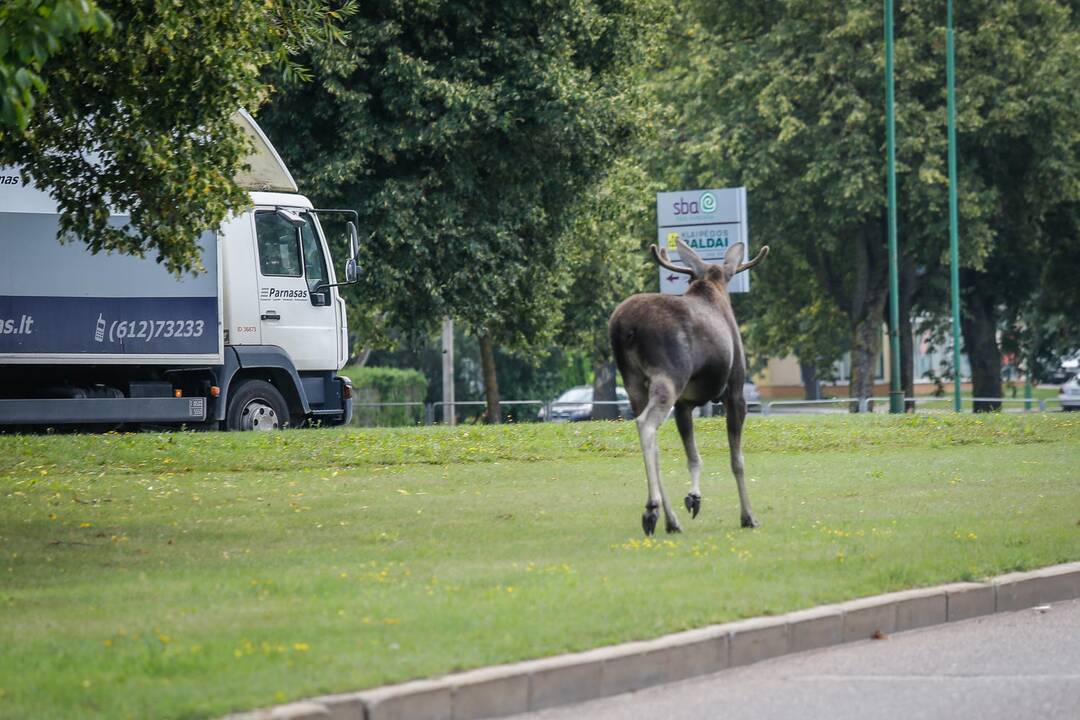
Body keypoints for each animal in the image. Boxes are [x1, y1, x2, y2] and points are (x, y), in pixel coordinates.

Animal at [609, 240, 768, 535]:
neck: (712, 286)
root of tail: (624, 328)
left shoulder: (684, 404)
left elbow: (693, 456)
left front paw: (694, 497)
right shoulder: (736, 392)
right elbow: (737, 460)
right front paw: (748, 516)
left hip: (633, 383)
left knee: (651, 440)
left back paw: (671, 519)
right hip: (670, 375)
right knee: (646, 425)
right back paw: (652, 509)